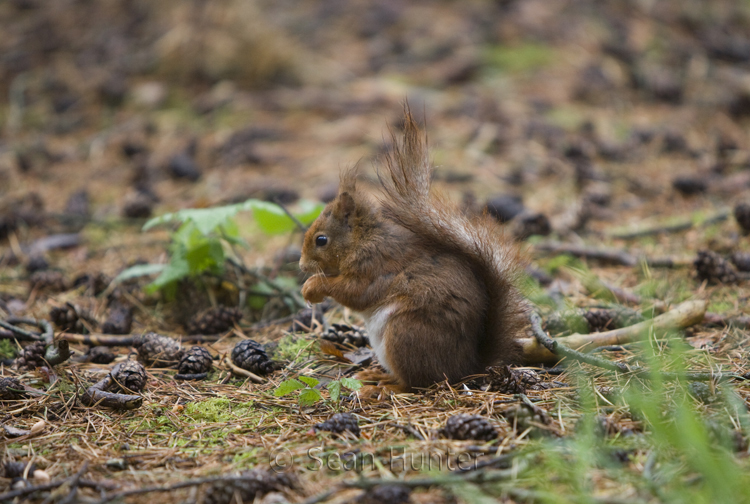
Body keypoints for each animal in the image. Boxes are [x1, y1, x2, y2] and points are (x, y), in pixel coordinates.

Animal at [299, 110, 527, 391]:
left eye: (321, 240)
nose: (302, 266)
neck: (363, 239)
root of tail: (465, 368)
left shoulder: (374, 265)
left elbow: (355, 292)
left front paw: (312, 286)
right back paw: (376, 376)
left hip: (404, 333)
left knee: (415, 383)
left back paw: (385, 387)